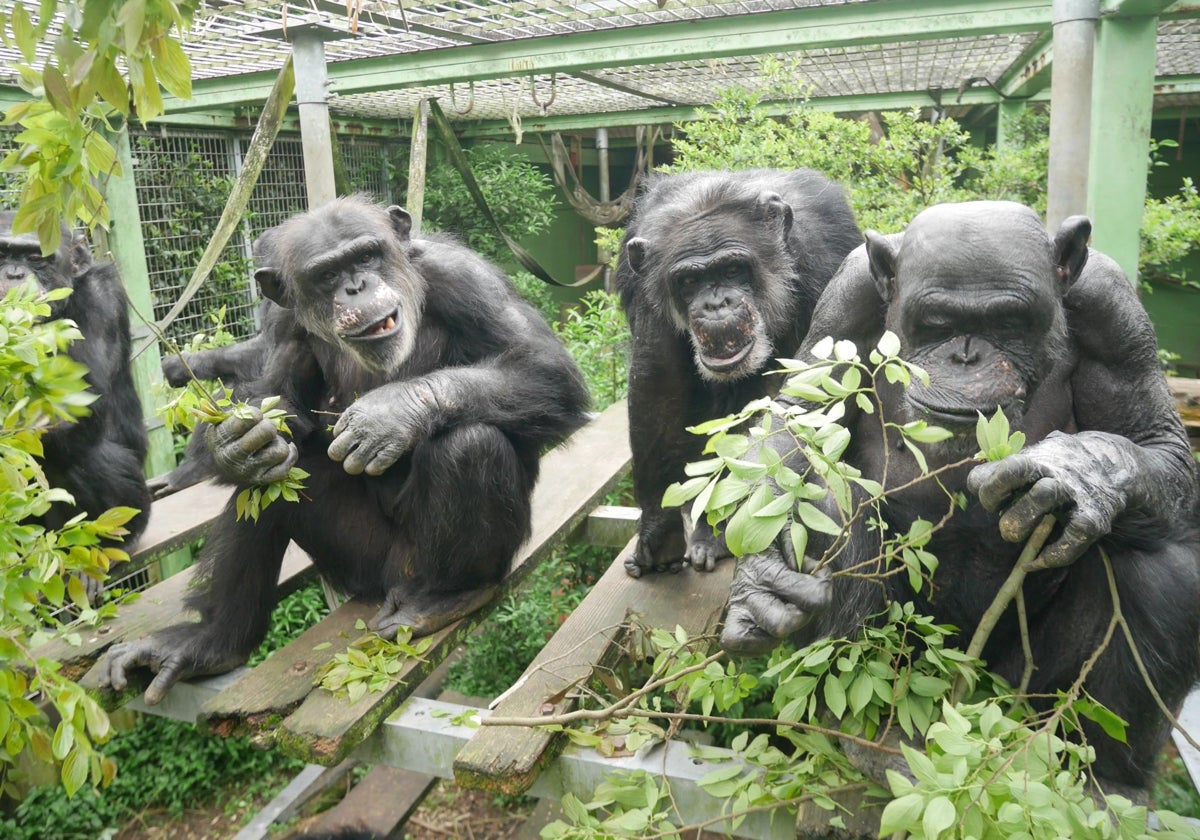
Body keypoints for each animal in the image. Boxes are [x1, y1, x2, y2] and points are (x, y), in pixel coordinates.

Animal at [0, 213, 152, 588]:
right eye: (1, 254)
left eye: (36, 257)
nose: (14, 274)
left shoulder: (99, 301)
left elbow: (70, 407)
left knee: (88, 459)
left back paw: (95, 555)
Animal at [98, 200, 590, 705]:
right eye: (327, 275)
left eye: (366, 256)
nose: (356, 286)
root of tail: (393, 583)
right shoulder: (282, 321)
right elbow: (278, 399)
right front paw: (233, 443)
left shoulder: (464, 277)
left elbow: (544, 367)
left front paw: (389, 414)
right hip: (359, 565)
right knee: (271, 483)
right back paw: (212, 641)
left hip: (423, 565)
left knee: (472, 444)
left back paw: (446, 597)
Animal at [619, 169, 864, 578]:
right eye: (689, 282)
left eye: (733, 269)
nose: (717, 304)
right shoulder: (646, 289)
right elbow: (657, 381)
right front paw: (659, 532)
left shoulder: (823, 259)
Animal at [720, 201, 1200, 801]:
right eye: (939, 325)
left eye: (1008, 323)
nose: (966, 355)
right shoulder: (845, 298)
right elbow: (801, 417)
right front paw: (761, 581)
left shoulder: (1113, 312)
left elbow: (1158, 440)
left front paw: (1076, 471)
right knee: (833, 508)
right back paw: (871, 736)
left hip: (1014, 695)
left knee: (1162, 569)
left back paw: (1108, 782)